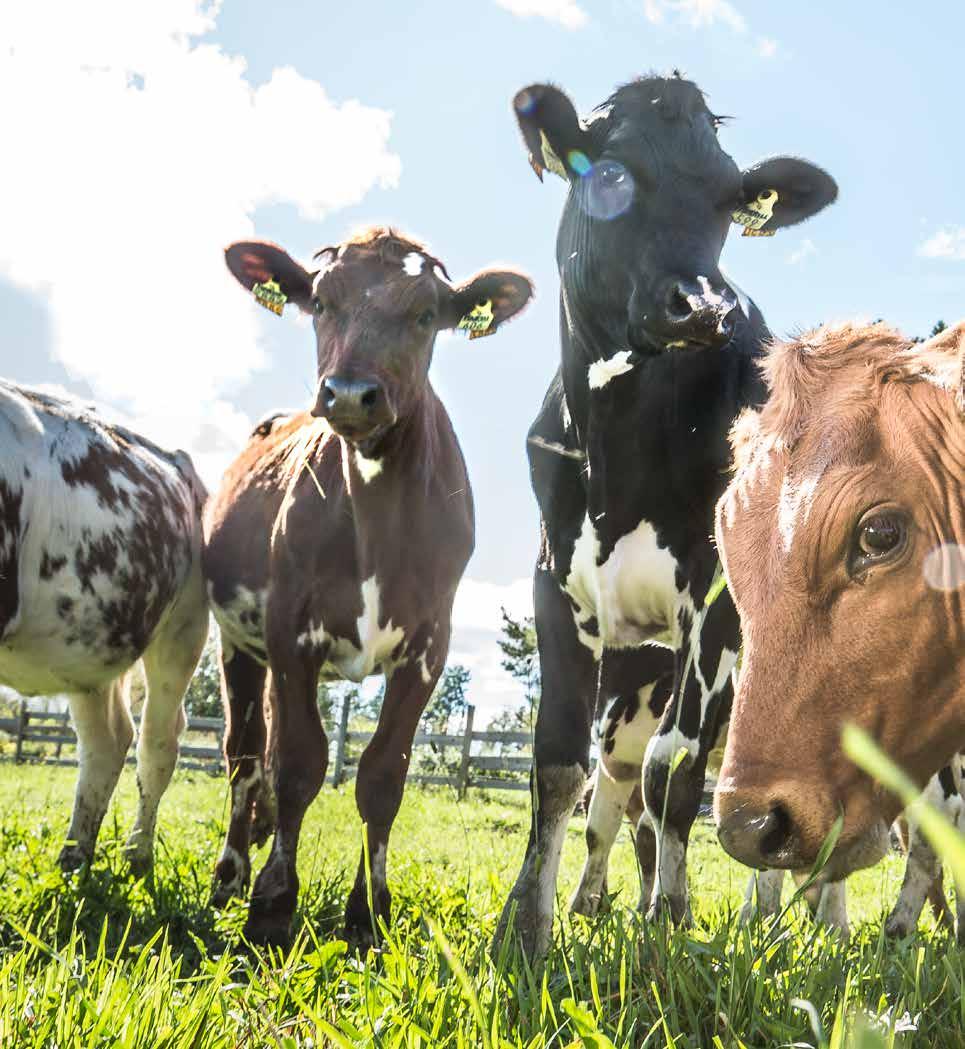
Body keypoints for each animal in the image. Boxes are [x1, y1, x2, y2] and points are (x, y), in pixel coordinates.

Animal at [0, 381, 208, 872]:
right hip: (91, 645)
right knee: (107, 740)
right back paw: (74, 857)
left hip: (183, 628)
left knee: (157, 743)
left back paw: (136, 856)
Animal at [205, 225, 534, 948]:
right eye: (321, 301)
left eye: (426, 314)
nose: (351, 393)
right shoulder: (289, 630)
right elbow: (298, 762)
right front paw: (273, 902)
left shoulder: (429, 646)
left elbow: (384, 774)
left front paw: (368, 910)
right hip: (236, 642)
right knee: (244, 754)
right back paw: (231, 873)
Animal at [497, 73, 834, 960]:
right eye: (612, 171)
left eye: (728, 199)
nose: (705, 306)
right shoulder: (556, 585)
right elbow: (559, 766)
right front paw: (527, 923)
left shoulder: (715, 602)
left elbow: (673, 770)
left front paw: (667, 923)